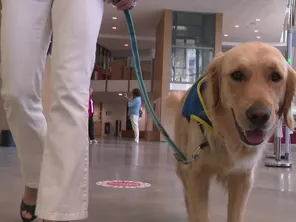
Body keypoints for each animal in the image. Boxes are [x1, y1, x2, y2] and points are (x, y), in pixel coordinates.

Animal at [166, 42, 296, 222]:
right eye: (237, 75)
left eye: (276, 76)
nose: (259, 115)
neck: (226, 137)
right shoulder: (196, 174)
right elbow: (199, 212)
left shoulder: (243, 178)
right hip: (183, 162)